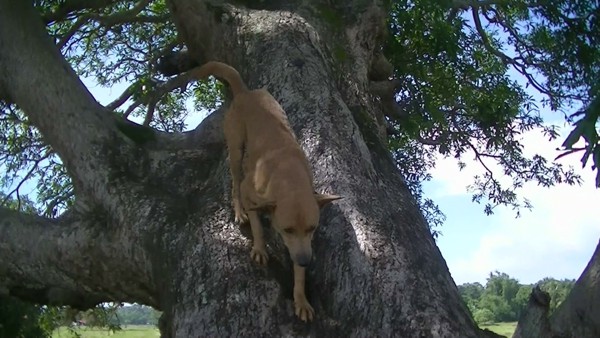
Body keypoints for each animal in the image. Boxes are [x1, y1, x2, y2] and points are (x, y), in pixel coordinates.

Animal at [192, 61, 342, 322]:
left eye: (312, 228)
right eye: (287, 229)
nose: (305, 261)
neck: (289, 178)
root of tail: (245, 92)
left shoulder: (301, 244)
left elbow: (298, 273)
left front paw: (301, 299)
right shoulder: (252, 194)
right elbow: (258, 227)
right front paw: (260, 248)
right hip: (235, 149)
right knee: (234, 181)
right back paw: (239, 211)